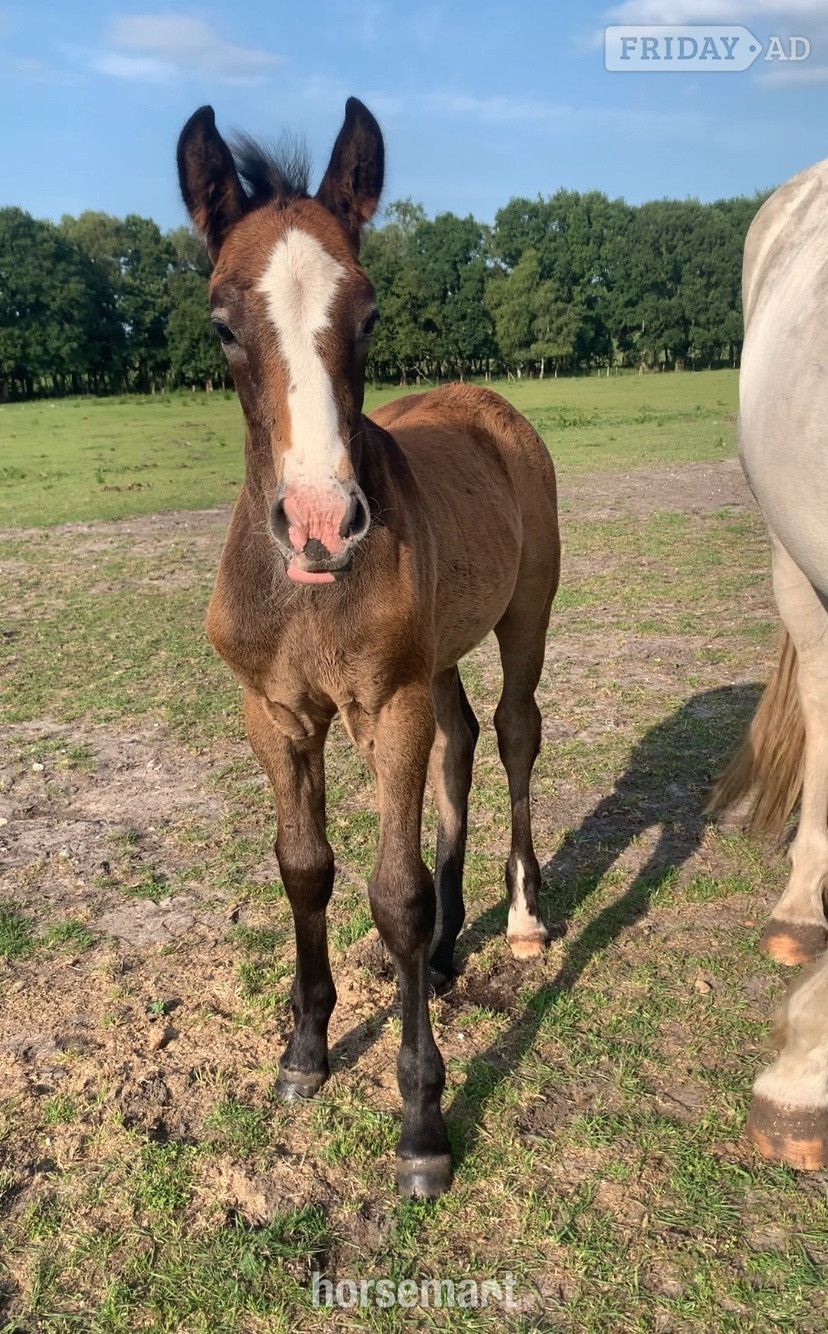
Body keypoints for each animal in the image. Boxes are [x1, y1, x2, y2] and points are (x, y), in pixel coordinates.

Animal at [176, 99, 560, 1197]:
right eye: (223, 323)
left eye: (372, 313)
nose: (318, 523)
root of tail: (488, 402)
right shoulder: (273, 711)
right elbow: (304, 867)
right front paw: (304, 1050)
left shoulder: (388, 705)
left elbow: (396, 894)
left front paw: (423, 1123)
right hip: (438, 655)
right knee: (465, 740)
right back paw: (449, 948)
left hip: (525, 615)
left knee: (514, 732)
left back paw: (520, 918)